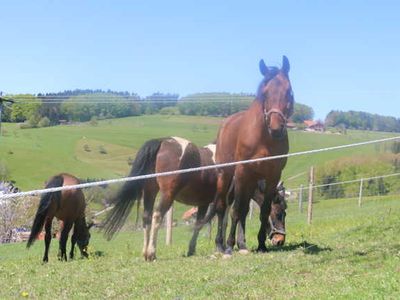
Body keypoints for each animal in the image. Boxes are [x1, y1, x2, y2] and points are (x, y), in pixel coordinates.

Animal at [209, 56, 294, 255]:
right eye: (265, 92)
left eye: (288, 91)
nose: (280, 240)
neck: (263, 138)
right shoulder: (242, 174)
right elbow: (236, 211)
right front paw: (230, 245)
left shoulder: (271, 176)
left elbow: (258, 211)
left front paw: (259, 244)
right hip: (225, 176)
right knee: (222, 208)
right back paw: (220, 244)